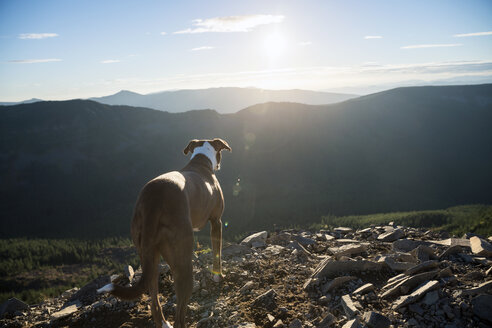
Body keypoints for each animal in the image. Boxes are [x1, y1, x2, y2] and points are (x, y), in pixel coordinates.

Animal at [99, 137, 234, 326]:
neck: (201, 161)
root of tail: (154, 199)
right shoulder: (216, 222)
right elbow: (217, 253)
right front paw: (218, 276)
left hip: (148, 254)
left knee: (154, 300)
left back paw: (163, 322)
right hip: (182, 259)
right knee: (179, 316)